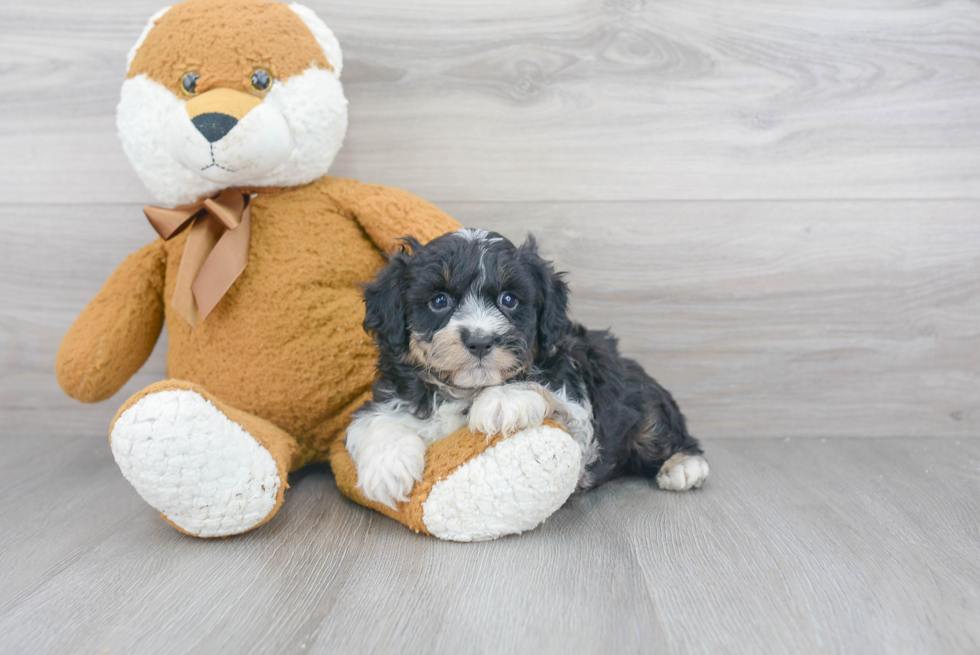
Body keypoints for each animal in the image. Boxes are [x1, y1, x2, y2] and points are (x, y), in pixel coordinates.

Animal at [344, 228, 704, 510]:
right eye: (439, 301)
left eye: (509, 299)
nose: (480, 341)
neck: (463, 390)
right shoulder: (390, 397)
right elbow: (374, 420)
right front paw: (387, 468)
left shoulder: (582, 425)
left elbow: (545, 396)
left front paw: (504, 399)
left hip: (644, 406)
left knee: (664, 432)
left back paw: (684, 465)